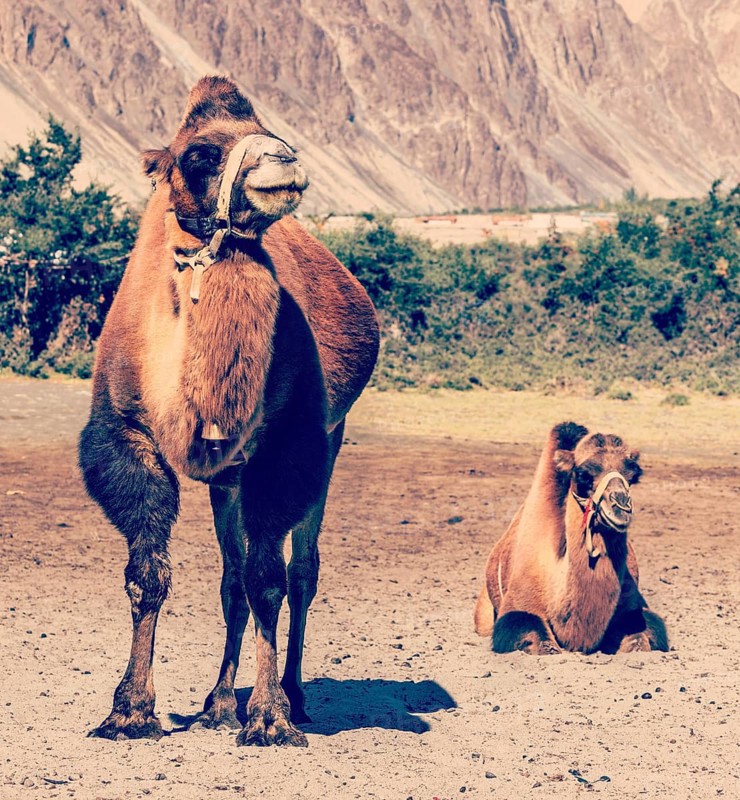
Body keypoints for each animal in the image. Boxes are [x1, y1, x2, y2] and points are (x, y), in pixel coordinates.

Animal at [78, 76, 379, 746]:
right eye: (198, 154)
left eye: (272, 130)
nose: (283, 161)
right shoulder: (129, 436)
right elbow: (149, 573)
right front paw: (129, 711)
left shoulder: (284, 448)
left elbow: (270, 580)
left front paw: (268, 717)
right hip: (226, 480)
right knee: (231, 578)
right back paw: (218, 702)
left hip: (330, 442)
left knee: (300, 572)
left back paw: (293, 696)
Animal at [474, 422, 668, 655]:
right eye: (583, 474)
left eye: (633, 475)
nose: (621, 508)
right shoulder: (519, 606)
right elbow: (542, 643)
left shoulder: (633, 607)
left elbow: (640, 639)